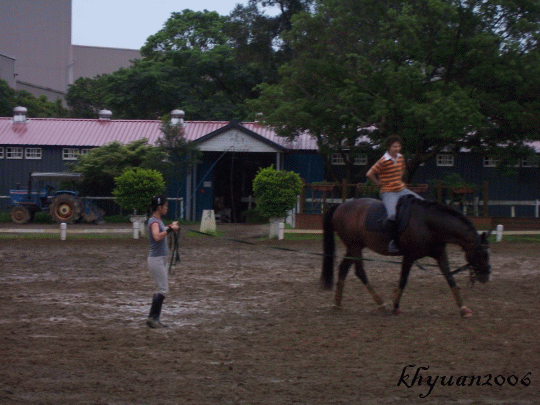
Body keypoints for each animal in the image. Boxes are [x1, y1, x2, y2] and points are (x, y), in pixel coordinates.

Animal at [322, 196, 492, 316]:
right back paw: (380, 303)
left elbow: (450, 278)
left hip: (352, 248)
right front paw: (395, 306)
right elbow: (403, 280)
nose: (486, 276)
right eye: (482, 254)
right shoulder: (409, 256)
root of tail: (340, 206)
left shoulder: (440, 254)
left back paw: (337, 303)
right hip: (355, 247)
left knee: (343, 268)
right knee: (359, 272)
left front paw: (463, 308)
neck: (428, 223)